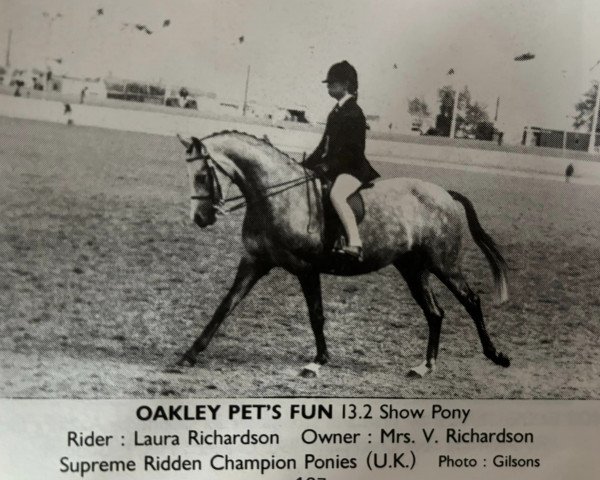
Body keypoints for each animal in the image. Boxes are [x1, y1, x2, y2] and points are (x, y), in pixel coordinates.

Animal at [176, 131, 508, 378]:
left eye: (203, 175)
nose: (201, 218)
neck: (276, 195)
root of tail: (445, 194)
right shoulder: (254, 261)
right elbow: (226, 305)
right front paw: (190, 353)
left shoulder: (306, 268)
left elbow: (316, 314)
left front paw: (318, 361)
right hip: (414, 269)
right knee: (435, 312)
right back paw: (425, 366)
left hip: (444, 264)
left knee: (471, 301)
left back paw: (496, 356)